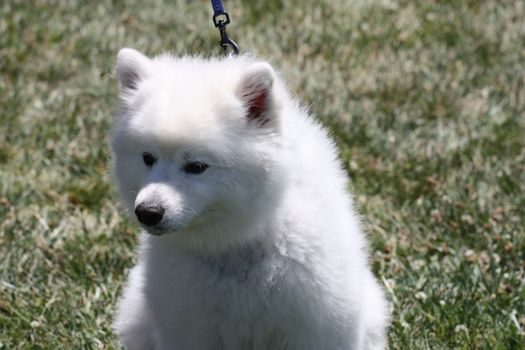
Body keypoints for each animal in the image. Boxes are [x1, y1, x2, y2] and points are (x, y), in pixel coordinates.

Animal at [111, 47, 388, 350]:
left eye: (196, 166)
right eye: (147, 158)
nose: (147, 212)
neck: (238, 245)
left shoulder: (311, 327)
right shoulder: (192, 328)